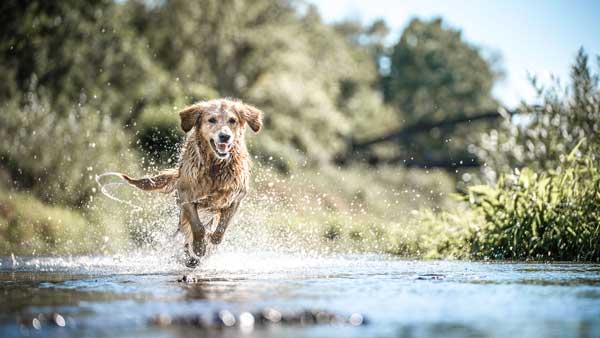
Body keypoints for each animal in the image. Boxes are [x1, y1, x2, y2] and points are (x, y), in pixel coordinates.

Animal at [119, 99, 262, 268]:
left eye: (232, 120)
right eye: (211, 120)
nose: (225, 136)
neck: (215, 166)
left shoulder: (235, 198)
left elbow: (220, 230)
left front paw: (210, 241)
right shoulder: (185, 196)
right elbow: (197, 227)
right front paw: (199, 247)